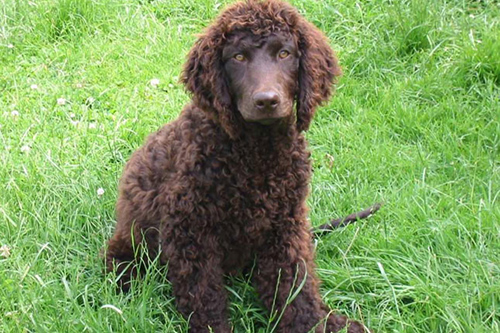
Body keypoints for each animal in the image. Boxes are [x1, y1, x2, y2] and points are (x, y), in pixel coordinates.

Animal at [105, 0, 370, 332]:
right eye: (238, 57)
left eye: (285, 54)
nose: (266, 101)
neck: (257, 153)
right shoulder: (190, 230)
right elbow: (204, 295)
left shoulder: (285, 224)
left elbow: (294, 284)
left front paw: (314, 323)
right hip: (136, 237)